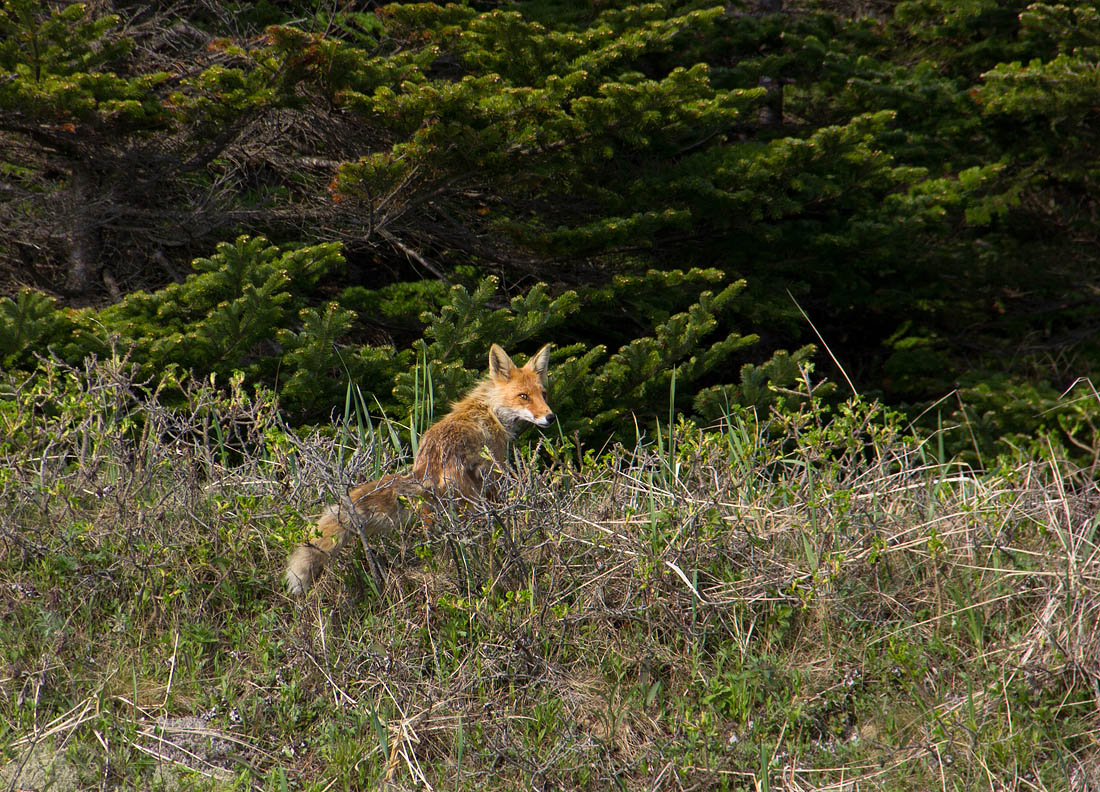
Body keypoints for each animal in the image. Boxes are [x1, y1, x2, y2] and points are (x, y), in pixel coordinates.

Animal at [286, 341, 554, 594]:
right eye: (523, 396)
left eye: (543, 394)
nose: (551, 417)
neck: (490, 409)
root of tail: (426, 467)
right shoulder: (496, 471)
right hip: (469, 504)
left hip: (433, 514)